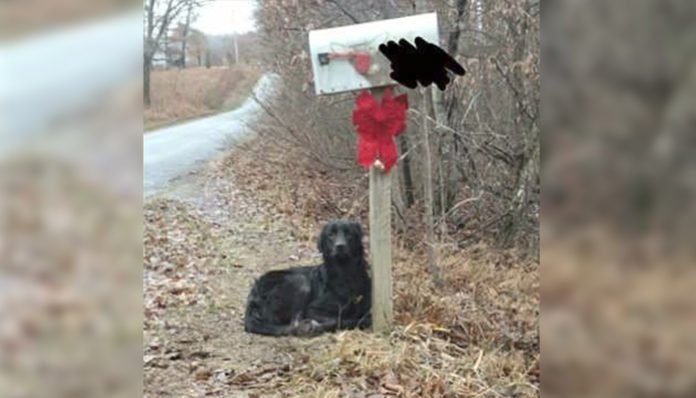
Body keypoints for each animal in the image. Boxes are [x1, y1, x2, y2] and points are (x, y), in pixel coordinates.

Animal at [246, 221, 376, 336]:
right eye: (331, 235)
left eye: (349, 234)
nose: (340, 246)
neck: (345, 273)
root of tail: (252, 296)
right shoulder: (313, 310)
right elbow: (339, 319)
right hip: (301, 281)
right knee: (294, 324)